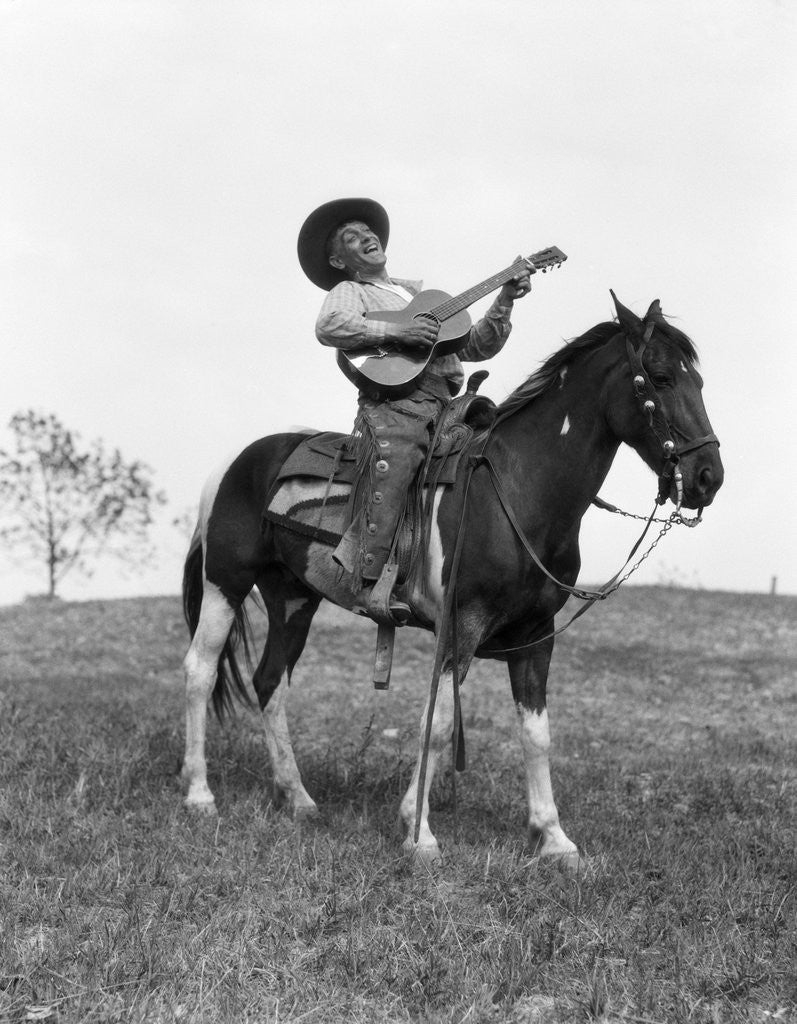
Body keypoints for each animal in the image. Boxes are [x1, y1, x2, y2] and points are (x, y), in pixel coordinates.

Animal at [180, 293, 723, 866]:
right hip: (225, 583)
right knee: (201, 672)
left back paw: (298, 798)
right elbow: (437, 725)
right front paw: (419, 833)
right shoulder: (460, 627)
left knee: (270, 682)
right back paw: (199, 794)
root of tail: (235, 462)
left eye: (697, 380)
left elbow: (537, 732)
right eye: (660, 378)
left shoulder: (536, 636)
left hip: (293, 597)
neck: (516, 490)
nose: (708, 477)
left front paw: (554, 839)